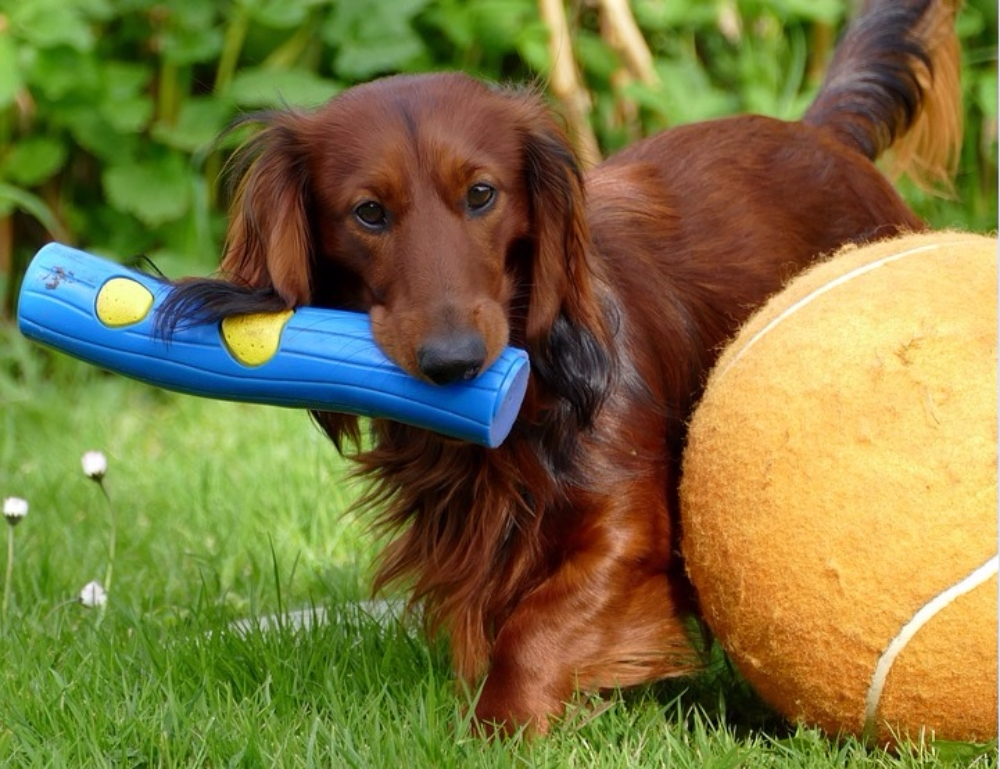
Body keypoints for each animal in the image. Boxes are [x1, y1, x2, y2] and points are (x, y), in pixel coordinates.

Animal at [162, 0, 960, 732]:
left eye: (482, 193)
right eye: (367, 212)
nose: (453, 363)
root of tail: (822, 135)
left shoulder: (627, 528)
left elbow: (537, 627)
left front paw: (500, 723)